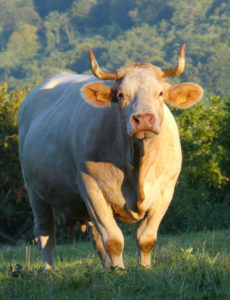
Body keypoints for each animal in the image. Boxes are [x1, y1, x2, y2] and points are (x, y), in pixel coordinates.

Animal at [18, 44, 204, 270]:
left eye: (160, 93)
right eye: (121, 95)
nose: (143, 119)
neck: (137, 165)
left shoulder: (165, 192)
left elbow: (146, 239)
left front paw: (143, 269)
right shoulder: (92, 189)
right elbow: (114, 240)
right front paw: (120, 271)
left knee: (95, 237)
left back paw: (107, 268)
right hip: (33, 188)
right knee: (45, 232)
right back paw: (50, 270)